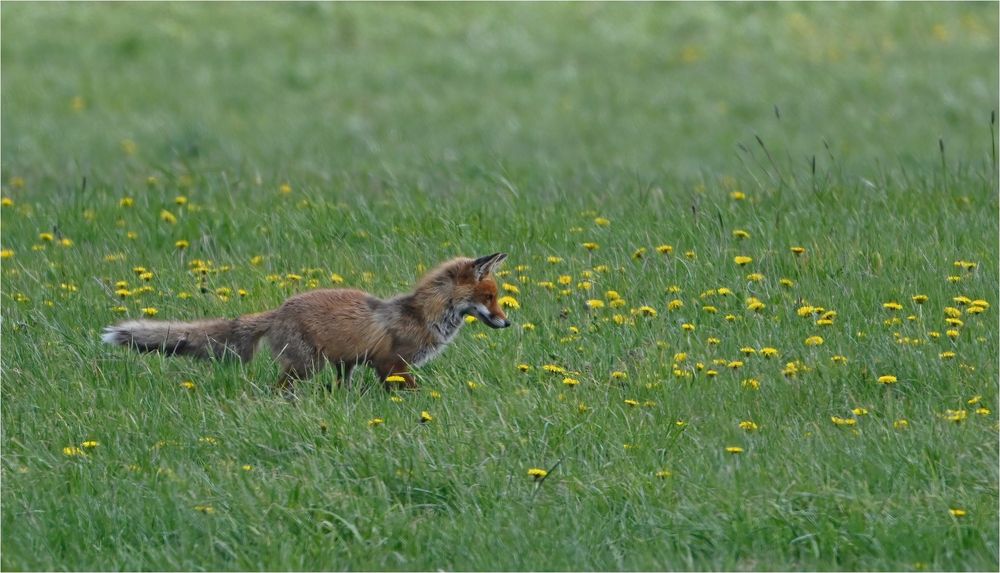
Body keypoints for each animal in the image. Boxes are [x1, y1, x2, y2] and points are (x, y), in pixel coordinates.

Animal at [102, 252, 512, 392]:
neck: (422, 315)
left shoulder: (373, 366)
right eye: (489, 298)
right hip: (305, 367)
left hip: (333, 366)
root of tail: (280, 309)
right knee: (278, 389)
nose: (507, 323)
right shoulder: (391, 364)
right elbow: (412, 391)